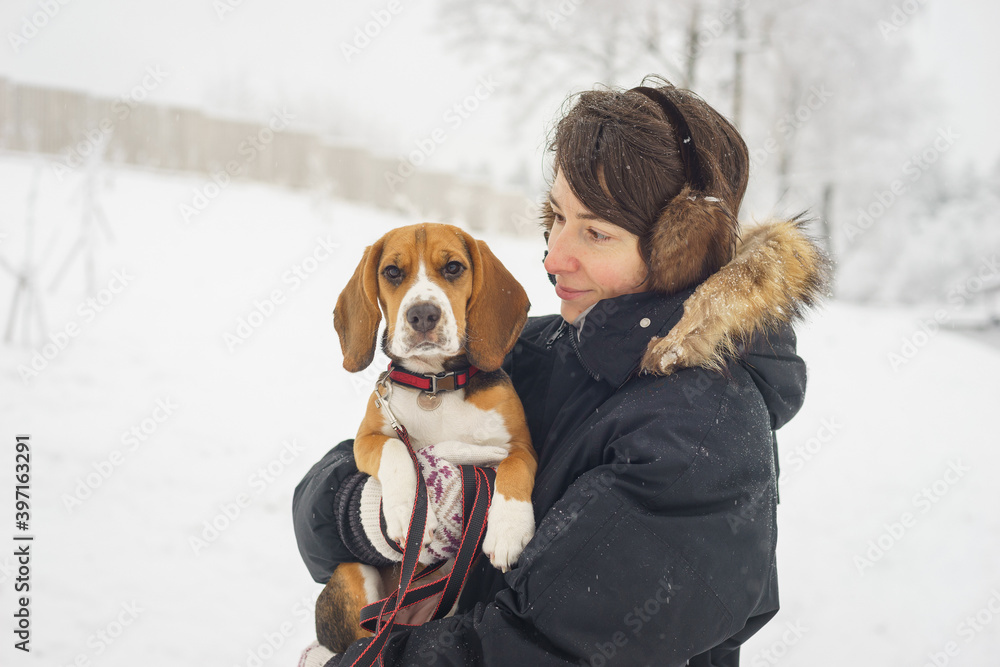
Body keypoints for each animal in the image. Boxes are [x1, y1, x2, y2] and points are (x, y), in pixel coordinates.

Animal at [320, 223, 540, 652]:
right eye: (391, 272)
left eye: (453, 267)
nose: (422, 314)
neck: (435, 384)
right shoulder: (367, 438)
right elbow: (395, 449)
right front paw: (408, 513)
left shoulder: (520, 445)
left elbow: (515, 466)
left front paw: (508, 528)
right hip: (352, 575)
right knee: (366, 639)